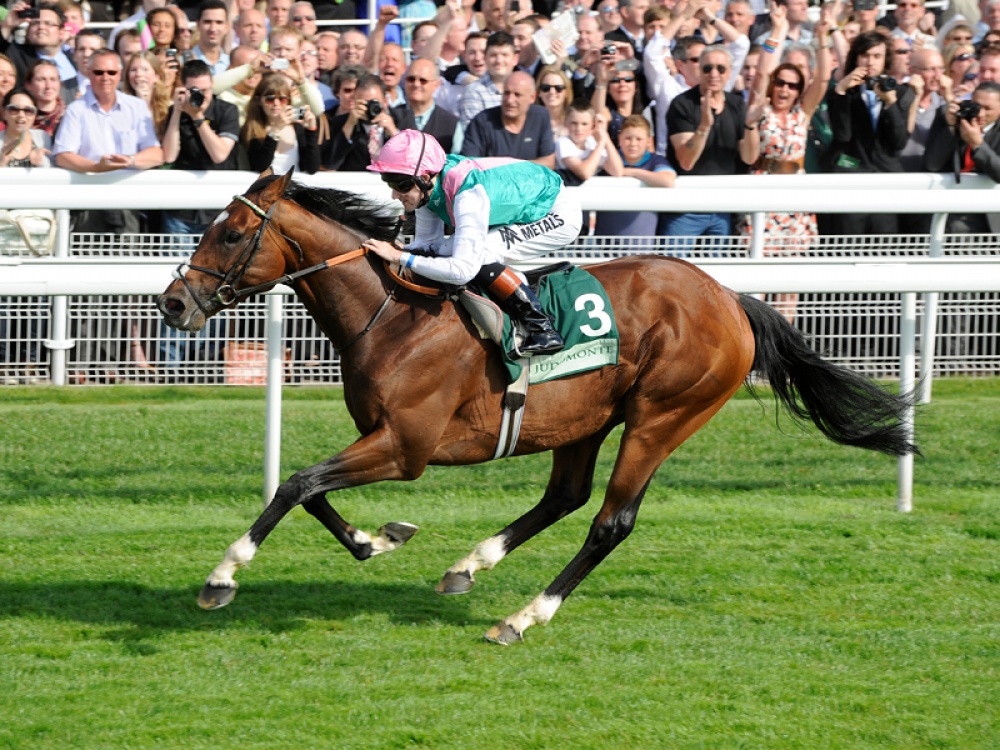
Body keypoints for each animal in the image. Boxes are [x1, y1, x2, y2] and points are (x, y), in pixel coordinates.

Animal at [157, 169, 916, 645]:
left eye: (231, 234)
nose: (171, 303)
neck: (394, 316)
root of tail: (729, 297)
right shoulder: (381, 439)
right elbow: (311, 490)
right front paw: (379, 539)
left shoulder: (406, 447)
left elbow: (296, 483)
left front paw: (221, 577)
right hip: (585, 418)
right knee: (566, 497)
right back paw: (468, 567)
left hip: (662, 416)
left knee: (610, 522)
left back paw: (522, 618)